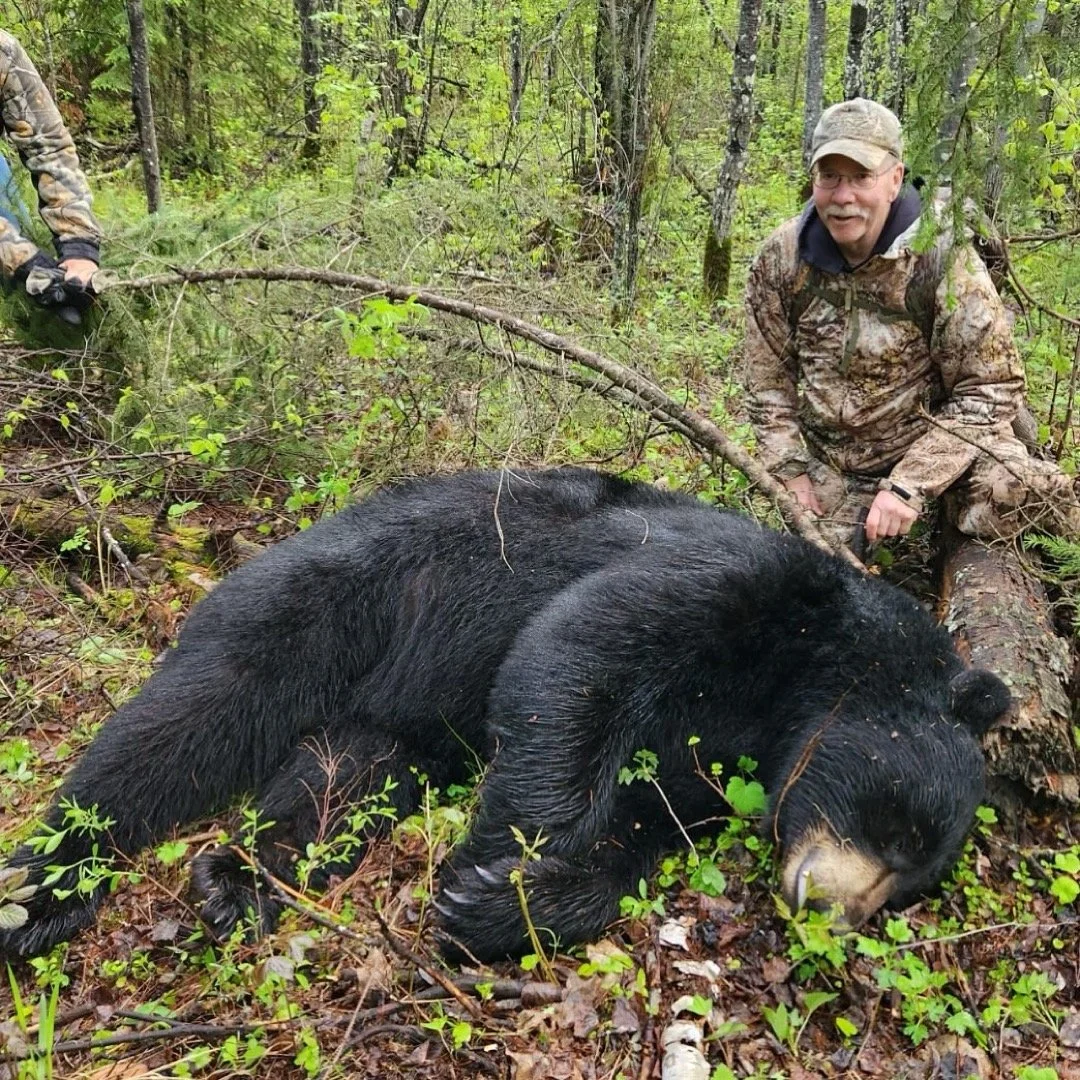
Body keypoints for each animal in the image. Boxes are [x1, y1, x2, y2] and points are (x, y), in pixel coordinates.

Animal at [0, 467, 1008, 962]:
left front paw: (506, 904)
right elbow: (584, 645)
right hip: (341, 595)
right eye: (899, 826)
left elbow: (641, 828)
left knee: (338, 778)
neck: (796, 685)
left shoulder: (718, 763)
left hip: (388, 728)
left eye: (908, 888)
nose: (829, 912)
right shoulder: (740, 585)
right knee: (184, 723)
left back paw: (239, 878)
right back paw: (39, 892)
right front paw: (496, 867)